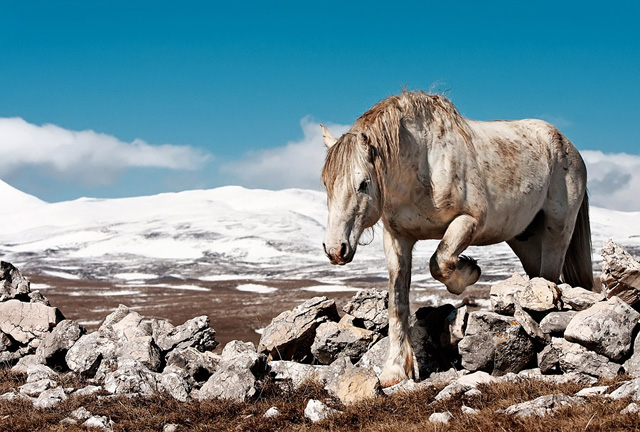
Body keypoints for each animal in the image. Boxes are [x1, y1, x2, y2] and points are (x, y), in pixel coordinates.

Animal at [322, 89, 592, 386]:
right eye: (326, 184)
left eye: (363, 184)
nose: (335, 249)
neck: (423, 163)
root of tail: (568, 145)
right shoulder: (397, 238)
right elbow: (397, 303)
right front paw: (395, 370)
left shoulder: (469, 221)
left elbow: (439, 262)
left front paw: (469, 272)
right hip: (525, 240)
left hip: (557, 228)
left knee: (550, 276)